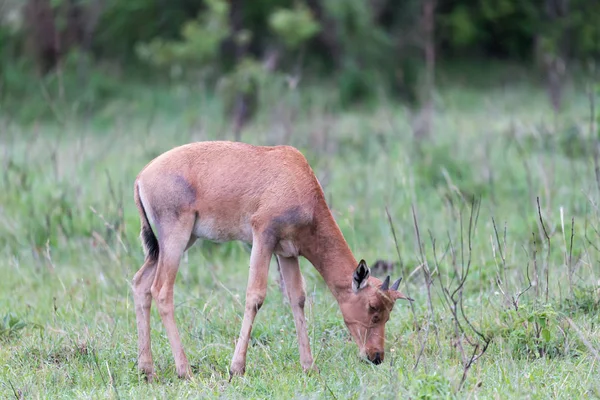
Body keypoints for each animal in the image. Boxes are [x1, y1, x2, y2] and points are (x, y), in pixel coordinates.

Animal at [131, 141, 412, 382]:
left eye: (388, 313)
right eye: (373, 309)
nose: (375, 357)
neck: (294, 174)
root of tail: (141, 177)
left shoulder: (287, 253)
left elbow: (297, 299)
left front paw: (309, 367)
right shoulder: (263, 236)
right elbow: (255, 295)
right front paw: (236, 369)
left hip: (174, 243)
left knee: (140, 284)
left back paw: (148, 371)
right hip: (176, 238)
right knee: (162, 290)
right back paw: (185, 371)